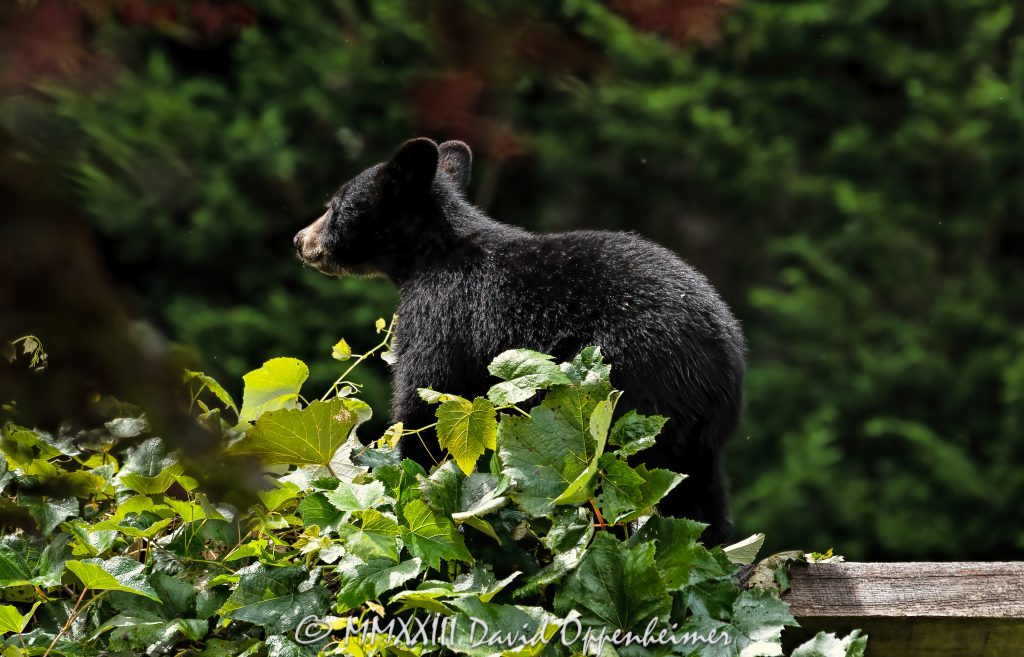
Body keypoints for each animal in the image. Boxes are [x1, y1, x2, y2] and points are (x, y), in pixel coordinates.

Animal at [294, 138, 745, 545]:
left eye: (334, 206)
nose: (299, 240)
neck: (430, 252)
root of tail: (720, 370)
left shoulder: (442, 311)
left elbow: (426, 397)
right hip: (698, 439)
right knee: (698, 495)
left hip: (627, 388)